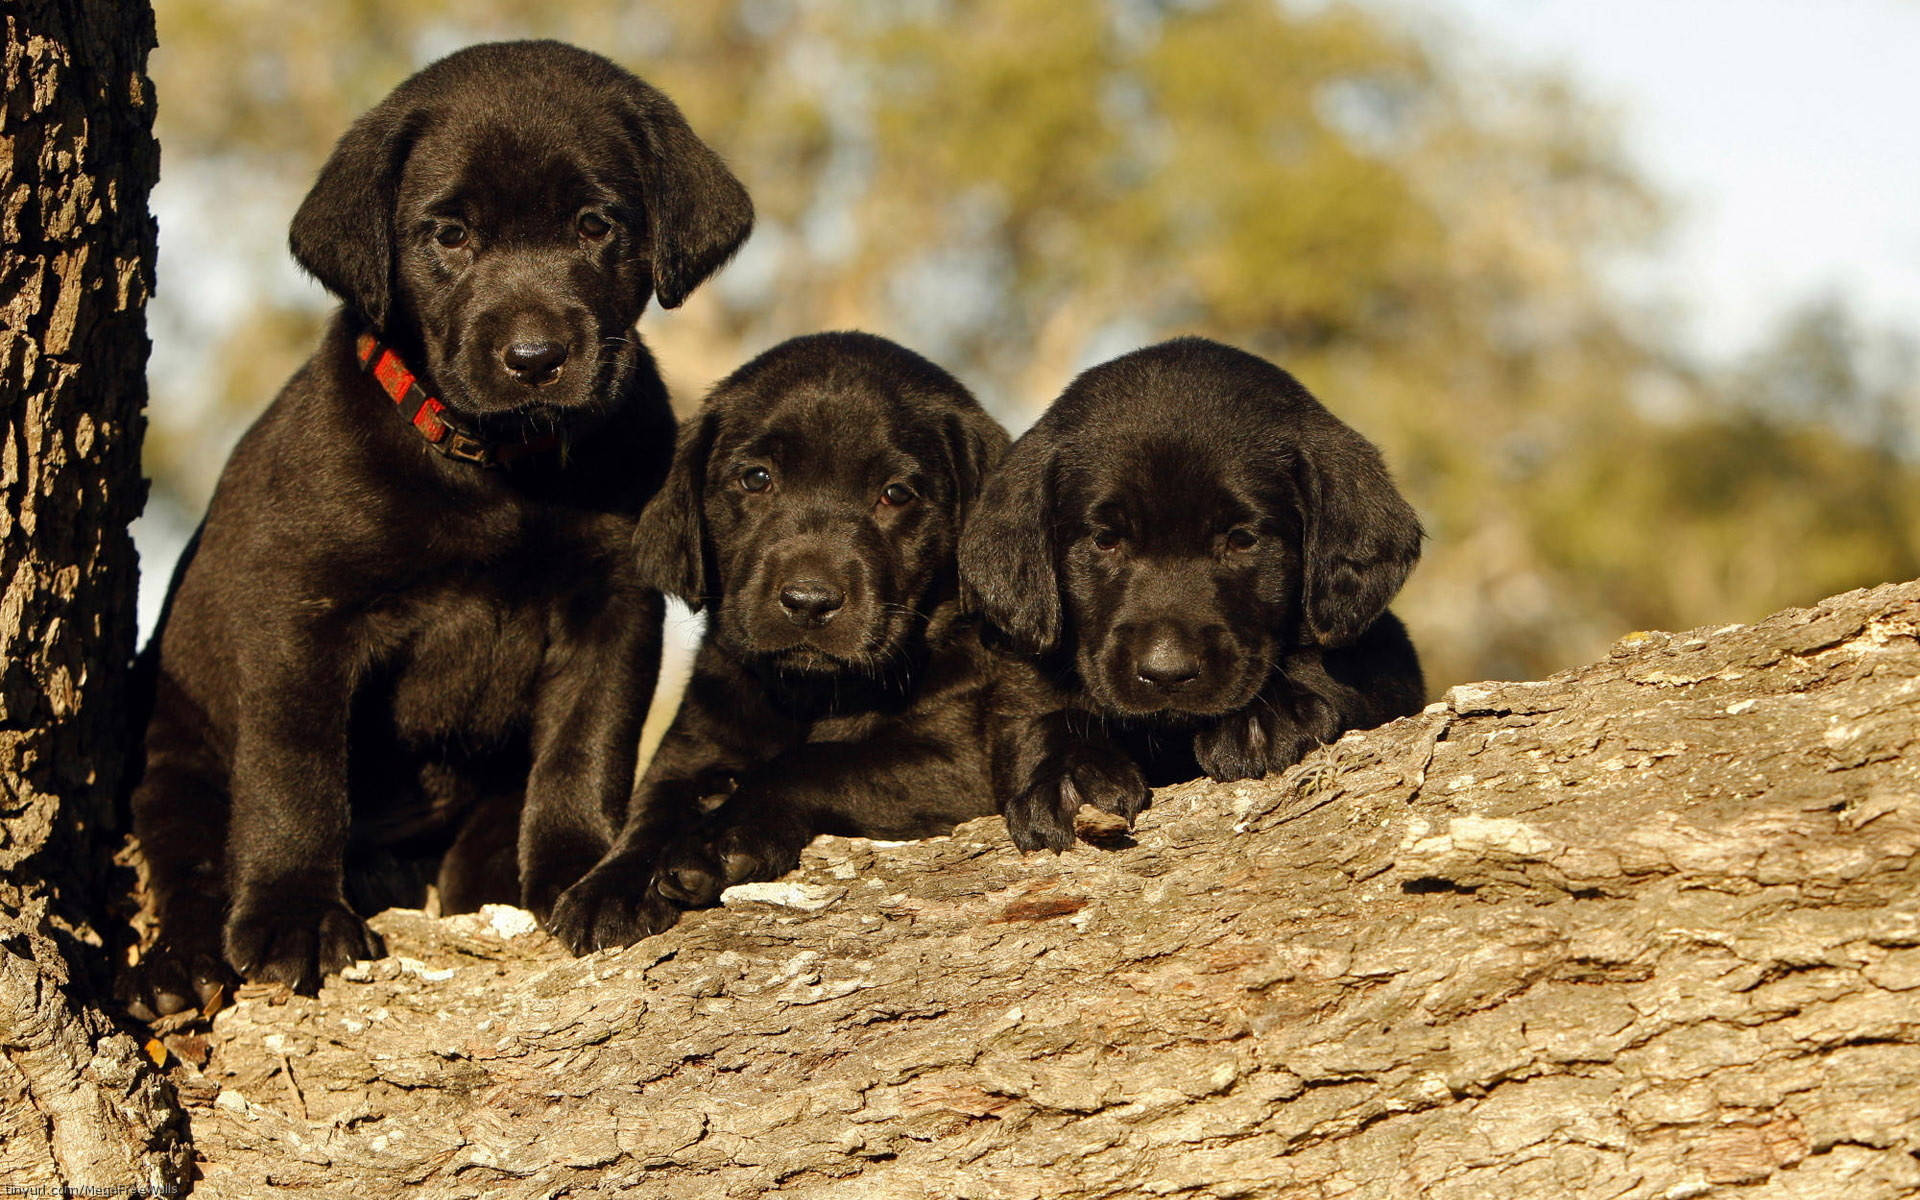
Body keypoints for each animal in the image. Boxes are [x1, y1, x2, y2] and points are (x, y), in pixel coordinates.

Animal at [125, 39, 748, 1013]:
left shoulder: (613, 611)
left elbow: (587, 747)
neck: (498, 469)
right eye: (450, 236)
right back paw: (182, 964)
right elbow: (295, 776)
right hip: (178, 749)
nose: (535, 359)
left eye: (595, 226)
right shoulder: (303, 616)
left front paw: (584, 872)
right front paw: (296, 914)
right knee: (188, 859)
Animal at [549, 332, 1013, 948]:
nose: (808, 602)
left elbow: (814, 763)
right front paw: (609, 885)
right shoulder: (691, 744)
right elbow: (651, 806)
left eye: (896, 494)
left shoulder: (959, 760)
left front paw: (714, 844)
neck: (809, 694)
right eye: (756, 479)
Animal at [960, 332, 1428, 848]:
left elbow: (1329, 666)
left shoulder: (1387, 659)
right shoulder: (1020, 686)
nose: (1167, 673)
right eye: (1106, 540)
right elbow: (1041, 721)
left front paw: (1268, 716)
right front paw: (1069, 774)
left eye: (1242, 539)